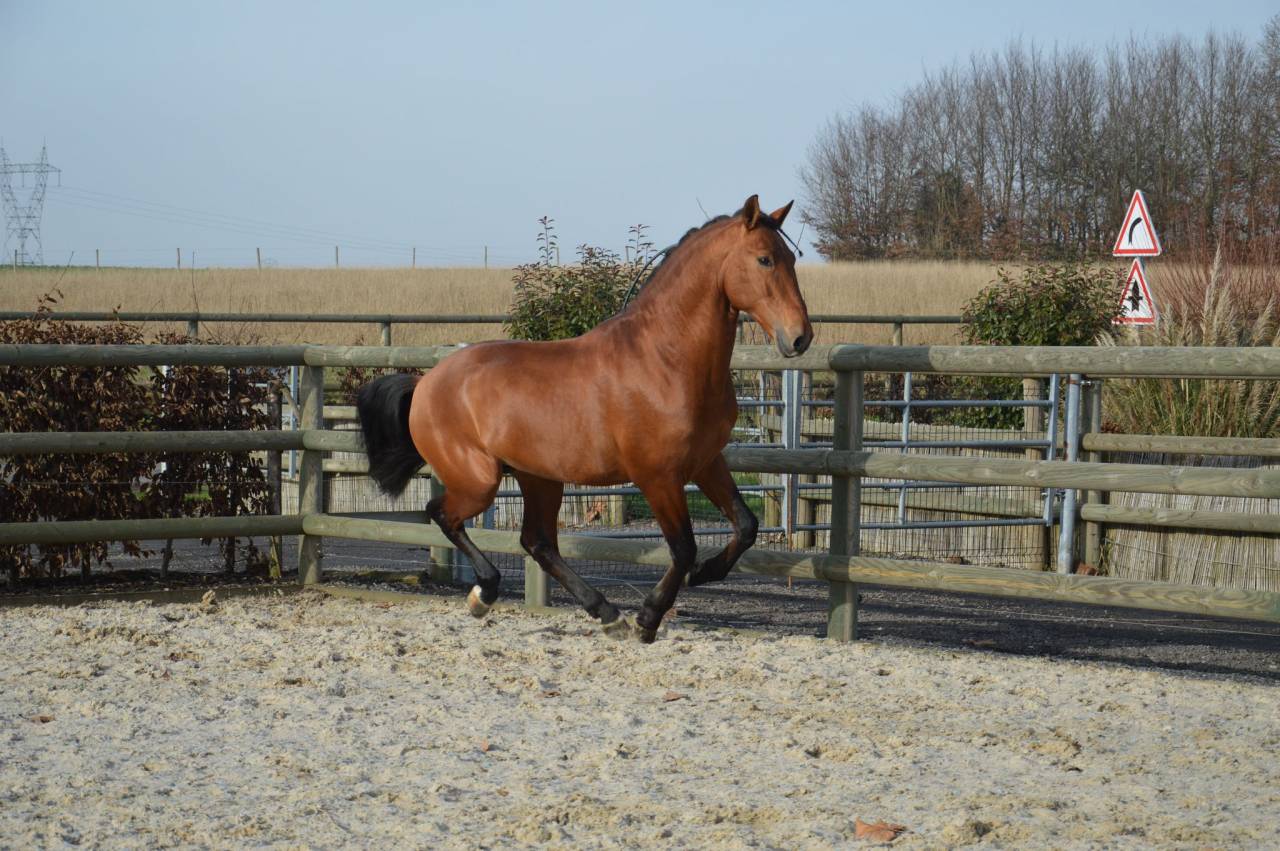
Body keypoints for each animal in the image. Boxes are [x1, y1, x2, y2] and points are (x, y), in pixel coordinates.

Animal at [356, 195, 812, 642]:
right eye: (764, 259)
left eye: (791, 257)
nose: (800, 337)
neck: (667, 360)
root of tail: (426, 382)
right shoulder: (657, 476)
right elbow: (683, 547)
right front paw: (649, 618)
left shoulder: (706, 462)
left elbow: (746, 525)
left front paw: (704, 574)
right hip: (480, 481)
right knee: (442, 513)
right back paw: (485, 593)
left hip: (539, 477)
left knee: (537, 542)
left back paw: (605, 613)